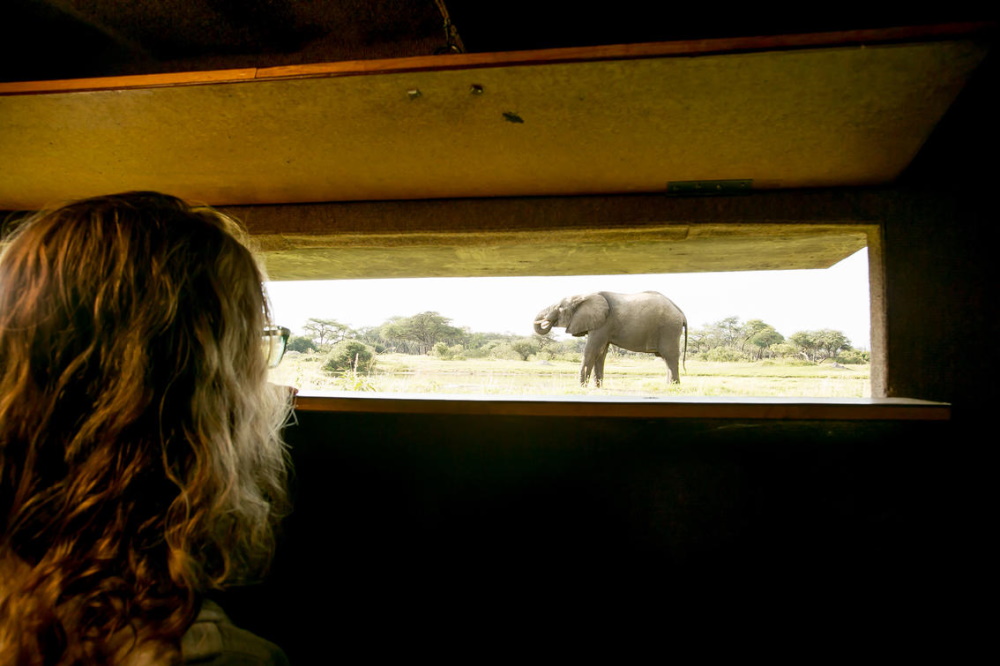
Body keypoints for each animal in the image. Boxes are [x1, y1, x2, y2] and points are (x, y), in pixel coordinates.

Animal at [532, 290, 688, 386]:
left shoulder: (603, 324)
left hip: (669, 328)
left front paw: (581, 387)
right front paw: (597, 388)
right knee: (666, 358)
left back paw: (673, 387)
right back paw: (669, 386)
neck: (585, 296)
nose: (545, 321)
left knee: (670, 355)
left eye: (559, 307)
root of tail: (680, 312)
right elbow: (601, 353)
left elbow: (592, 351)